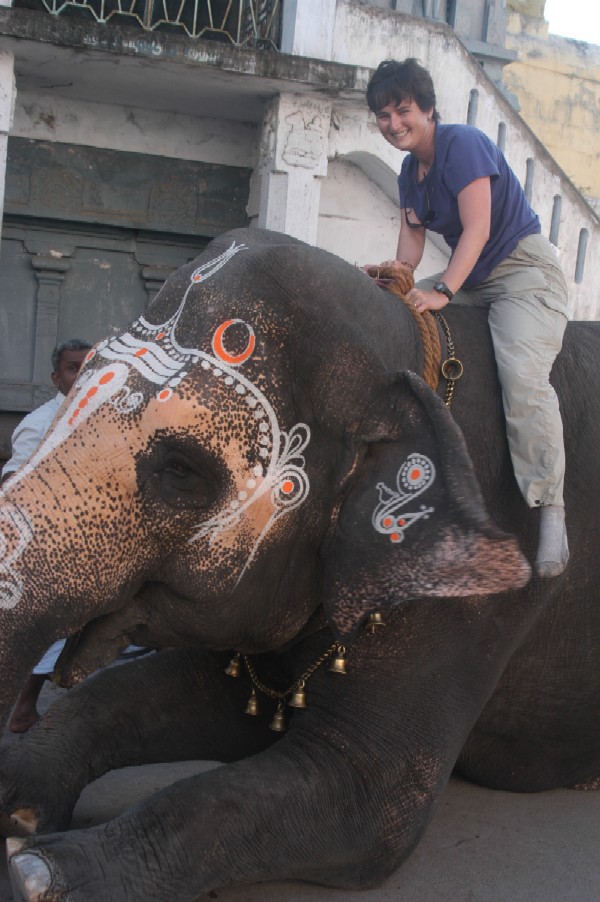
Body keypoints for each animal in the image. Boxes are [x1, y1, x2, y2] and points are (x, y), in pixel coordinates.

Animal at [0, 230, 596, 900]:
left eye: (180, 468)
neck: (412, 350)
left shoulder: (475, 588)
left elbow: (373, 798)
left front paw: (38, 871)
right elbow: (194, 698)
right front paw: (17, 804)